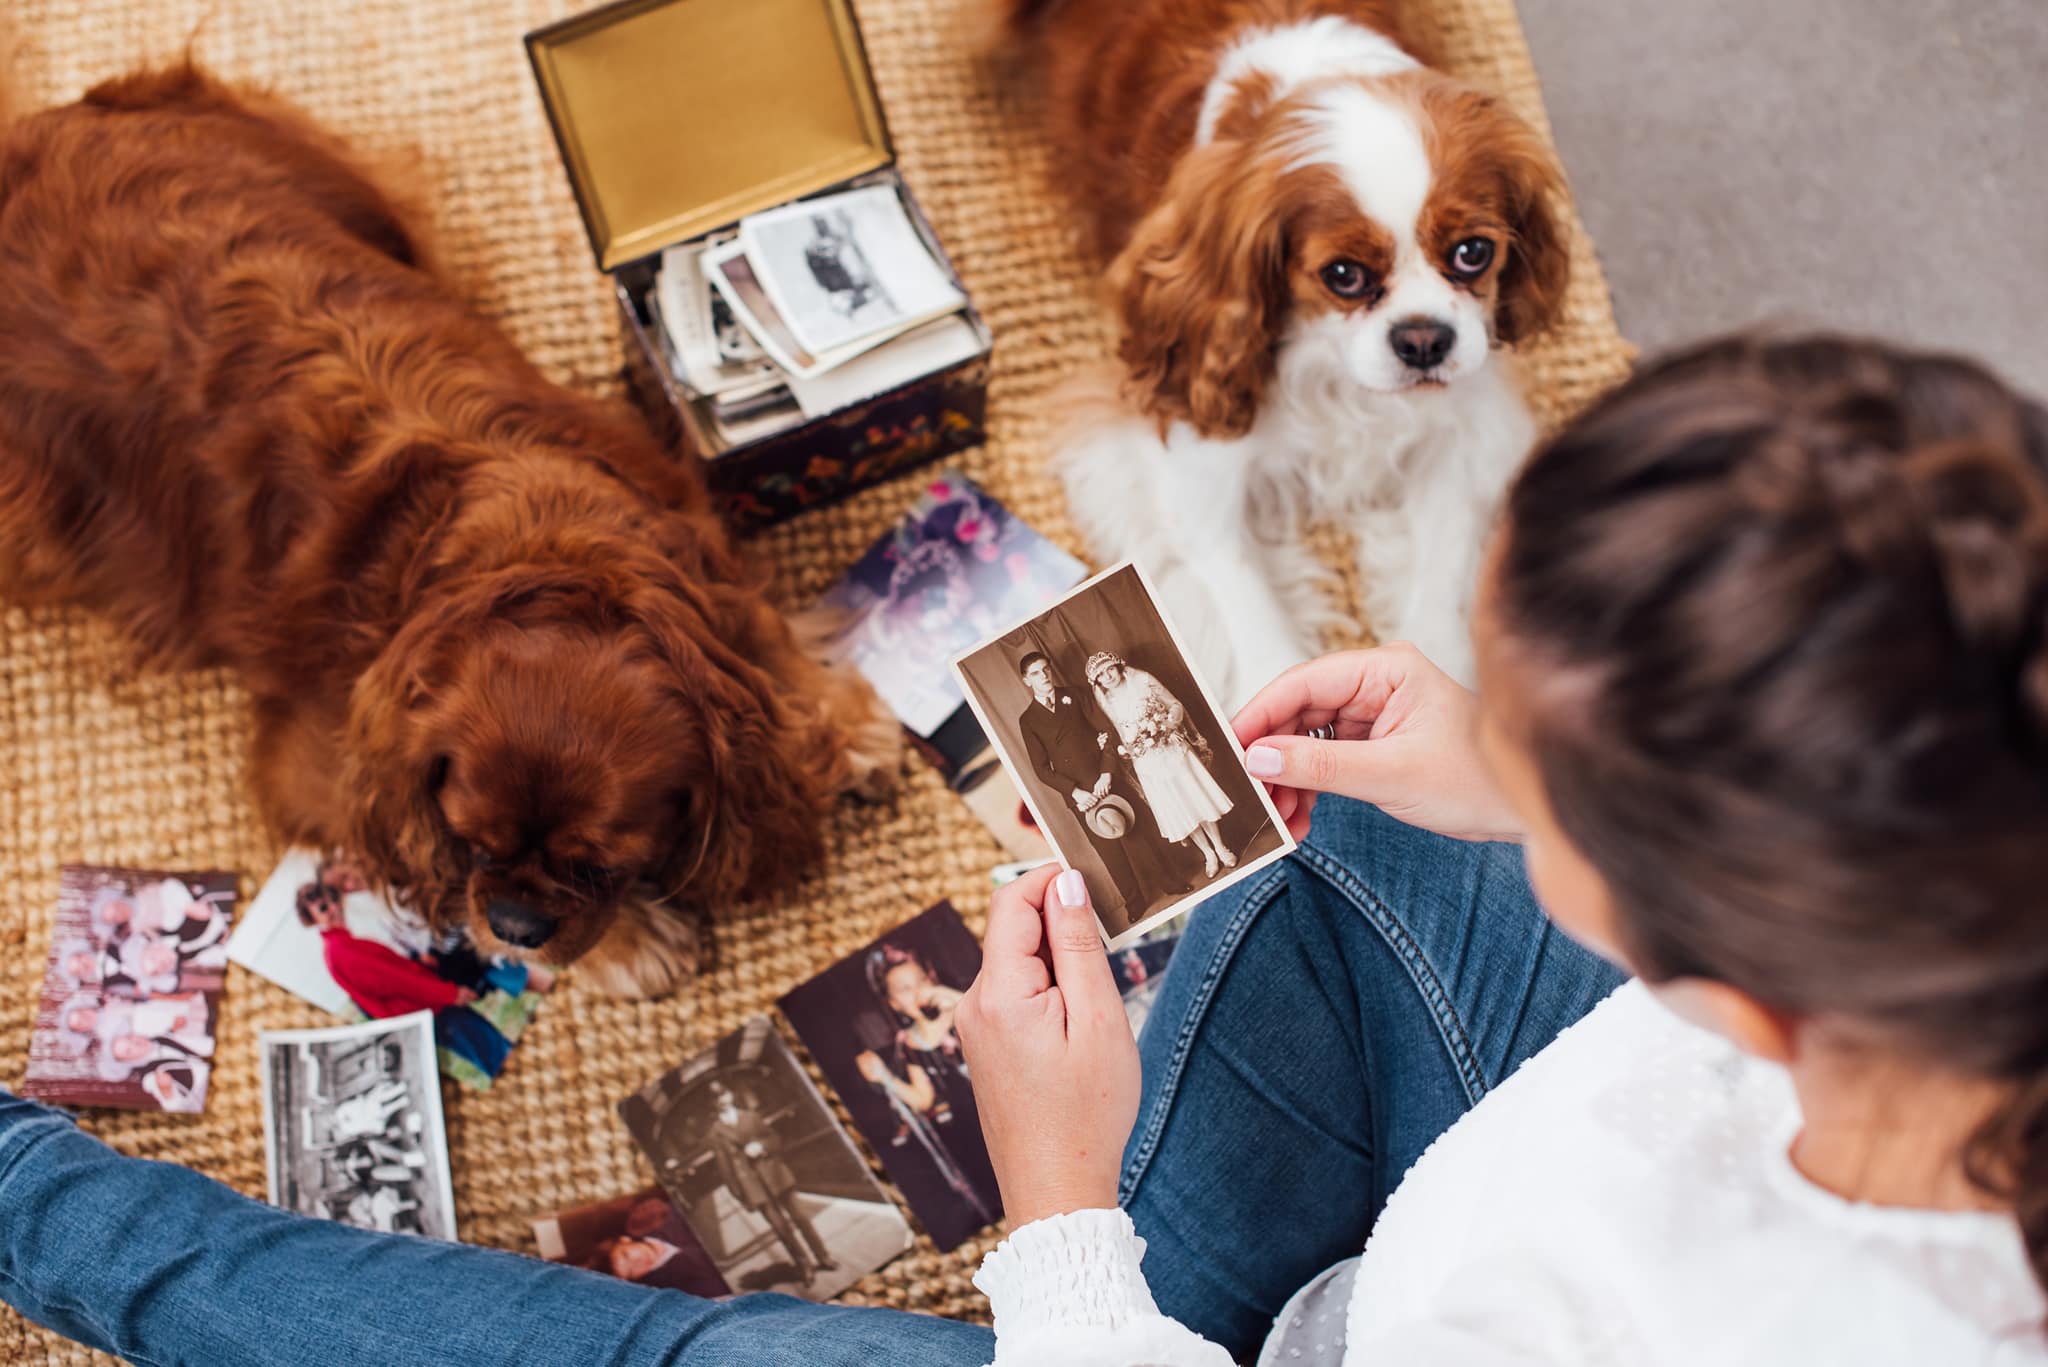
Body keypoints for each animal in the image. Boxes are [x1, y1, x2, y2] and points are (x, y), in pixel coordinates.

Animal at [0, 66, 897, 996]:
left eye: (598, 863)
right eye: (469, 841)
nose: (518, 924)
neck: (540, 539)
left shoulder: (683, 531)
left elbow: (759, 629)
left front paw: (830, 721)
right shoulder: (327, 767)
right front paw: (627, 940)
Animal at [999, 0, 1572, 700]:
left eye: (1474, 253)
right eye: (1343, 275)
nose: (1423, 340)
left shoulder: (1471, 429)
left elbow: (1443, 579)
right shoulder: (1184, 449)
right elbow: (1244, 597)